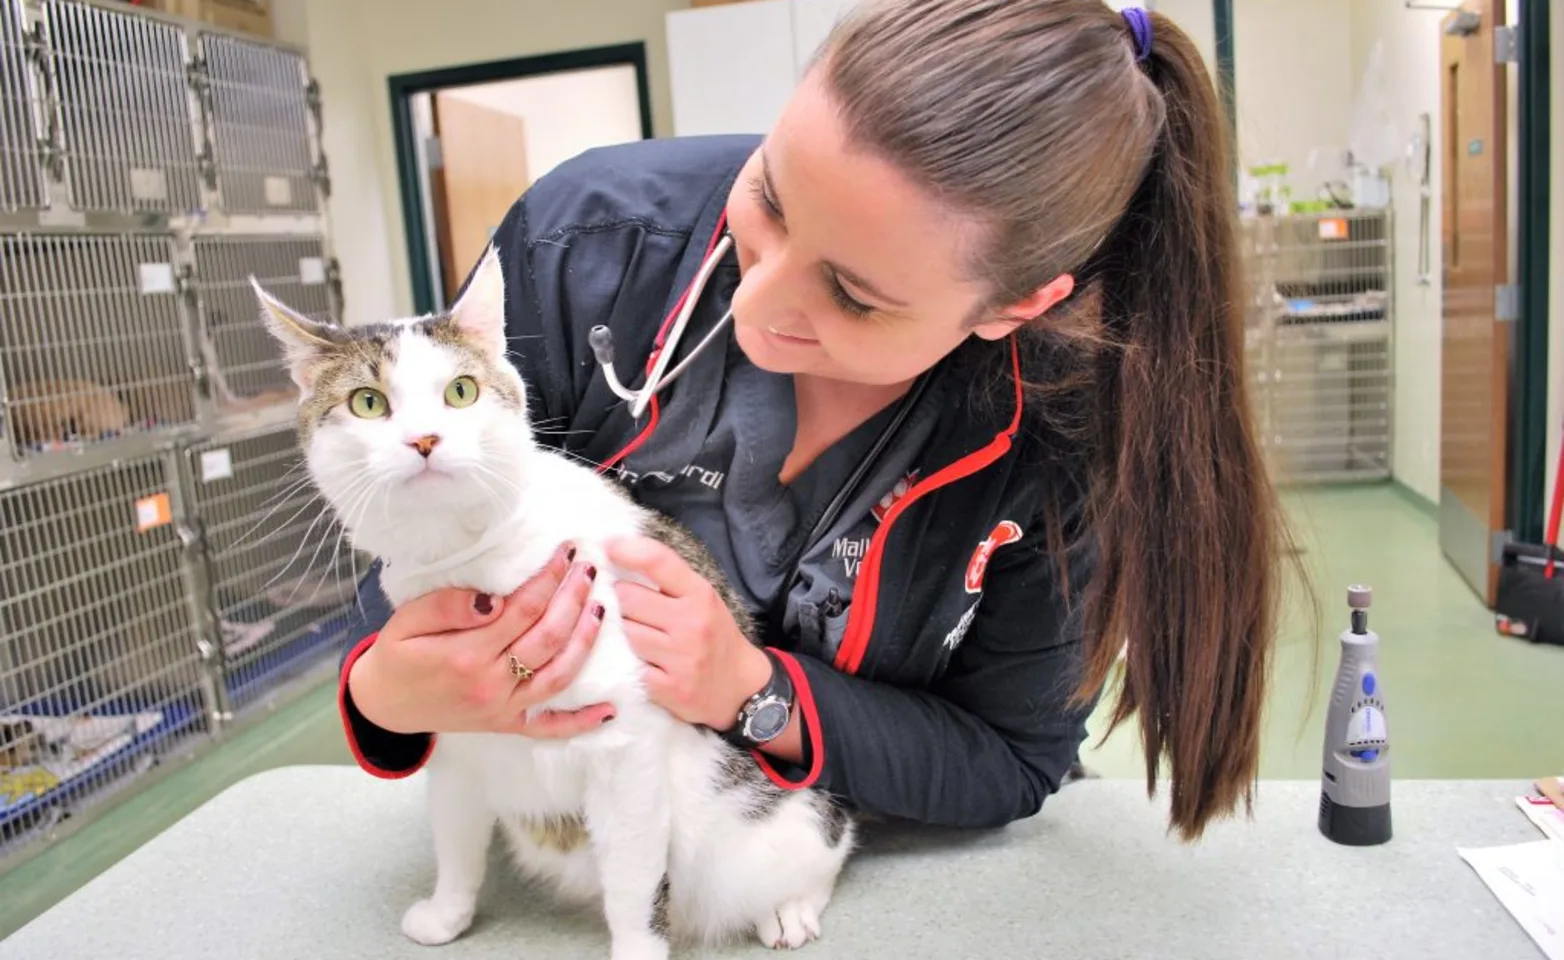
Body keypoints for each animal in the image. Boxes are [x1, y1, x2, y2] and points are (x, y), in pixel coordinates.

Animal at [253, 248, 857, 960]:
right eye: (367, 403)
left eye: (461, 391)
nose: (425, 440)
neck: (467, 555)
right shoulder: (452, 741)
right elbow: (456, 842)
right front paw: (448, 913)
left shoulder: (624, 746)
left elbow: (632, 881)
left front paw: (637, 949)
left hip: (764, 826)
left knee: (826, 843)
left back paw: (791, 907)